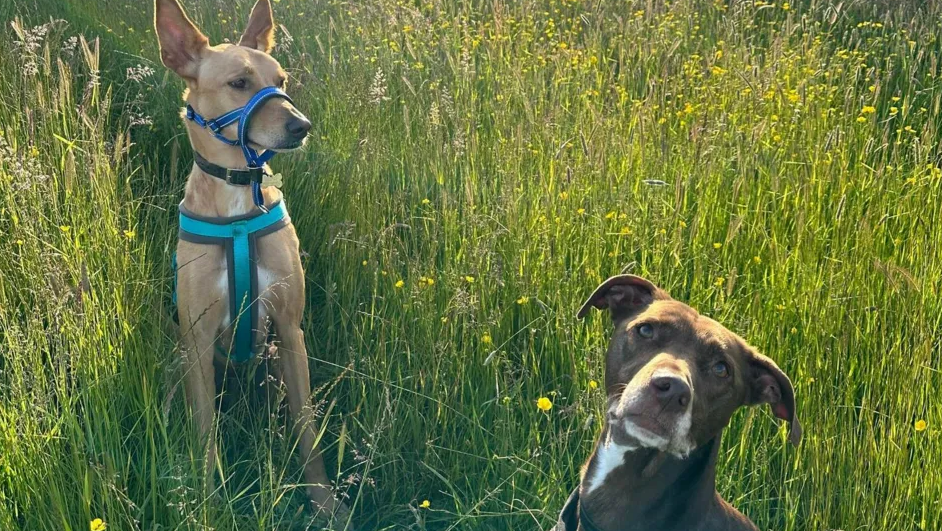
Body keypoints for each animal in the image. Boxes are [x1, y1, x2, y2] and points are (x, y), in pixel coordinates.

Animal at [157, 0, 348, 524]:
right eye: (239, 83)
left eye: (280, 80)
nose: (302, 126)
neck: (239, 207)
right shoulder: (198, 339)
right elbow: (205, 434)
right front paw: (207, 504)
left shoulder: (289, 329)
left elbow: (307, 429)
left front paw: (323, 501)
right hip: (179, 361)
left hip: (273, 362)